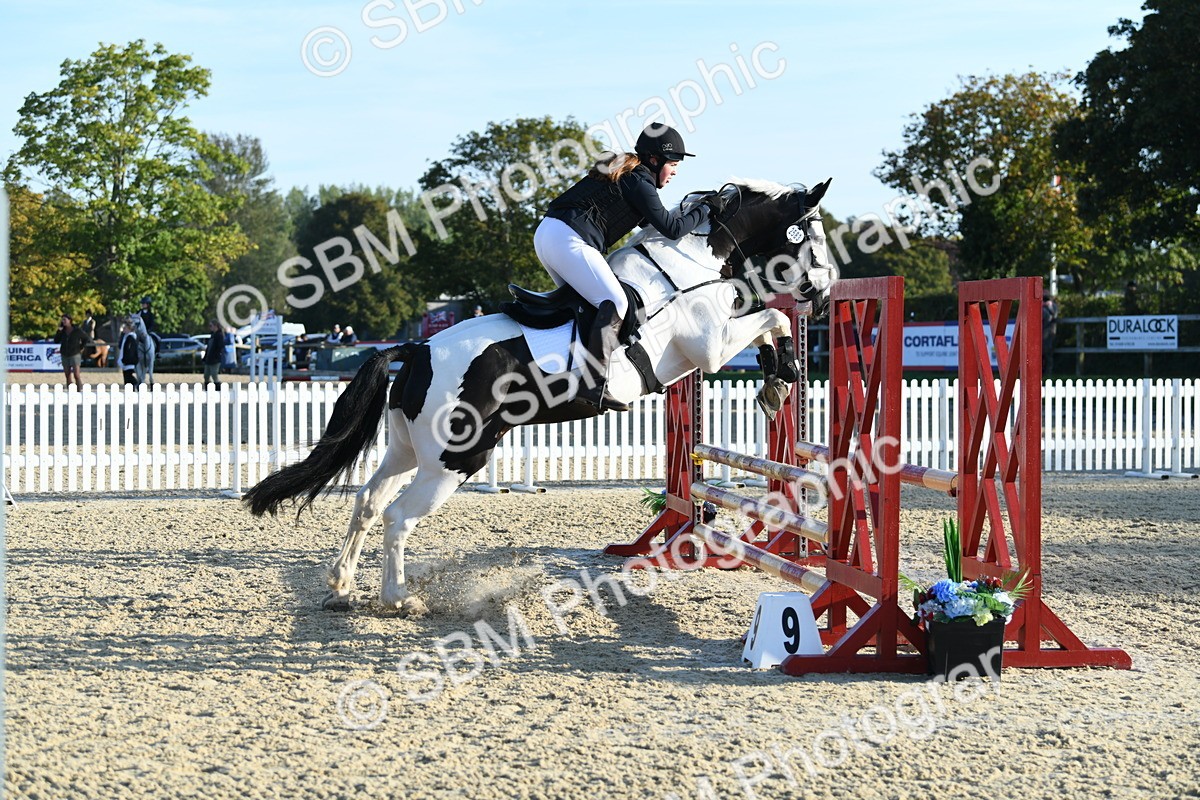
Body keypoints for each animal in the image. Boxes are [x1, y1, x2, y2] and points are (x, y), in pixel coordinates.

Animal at [244, 177, 837, 613]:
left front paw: (776, 378)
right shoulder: (707, 350)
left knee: (368, 502)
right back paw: (399, 600)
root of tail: (416, 350)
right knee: (398, 517)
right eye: (813, 238)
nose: (827, 297)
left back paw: (342, 587)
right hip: (456, 460)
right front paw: (782, 371)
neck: (686, 269)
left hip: (407, 450)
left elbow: (768, 322)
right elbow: (772, 317)